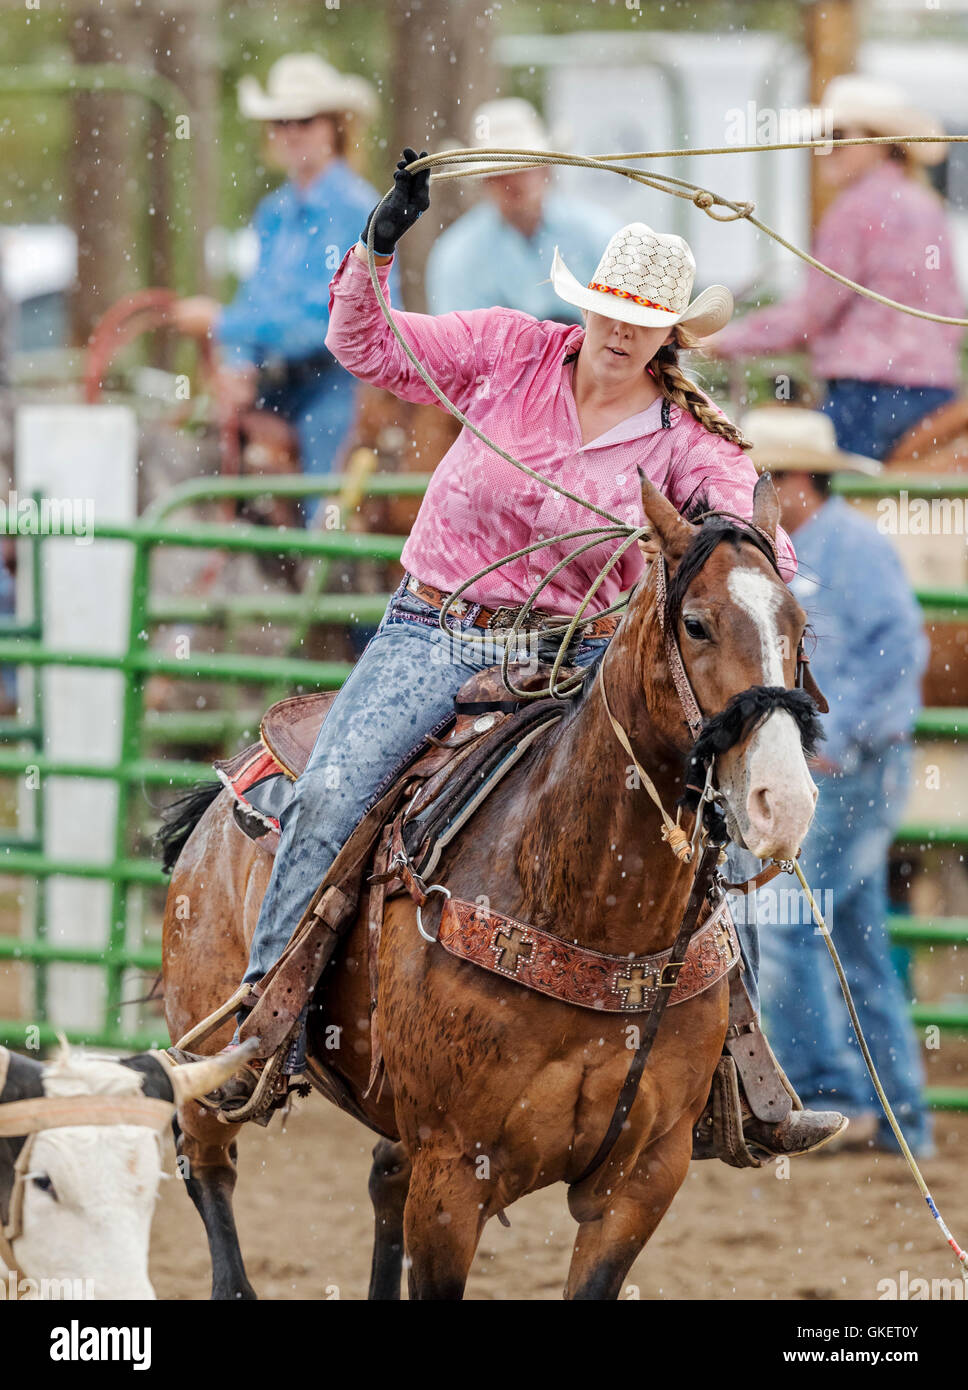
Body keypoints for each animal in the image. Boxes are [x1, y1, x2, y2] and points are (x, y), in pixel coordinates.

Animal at [160, 480, 817, 1301]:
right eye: (695, 624)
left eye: (799, 628)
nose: (782, 801)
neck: (589, 913)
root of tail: (226, 789)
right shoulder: (454, 1172)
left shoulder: (642, 1179)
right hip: (212, 1050)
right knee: (206, 1163)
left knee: (382, 1179)